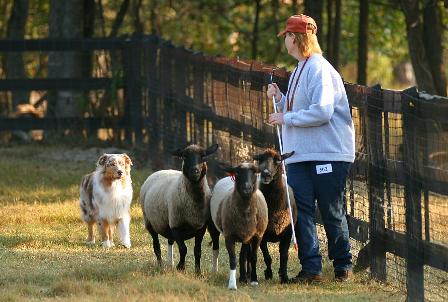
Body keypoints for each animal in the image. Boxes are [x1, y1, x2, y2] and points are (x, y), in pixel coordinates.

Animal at [139, 144, 218, 274]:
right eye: (185, 156)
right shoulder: (175, 225)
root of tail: (161, 170)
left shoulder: (200, 227)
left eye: (203, 156)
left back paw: (170, 264)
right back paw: (161, 266)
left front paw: (198, 272)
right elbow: (183, 249)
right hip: (150, 222)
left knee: (169, 242)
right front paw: (180, 267)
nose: (195, 171)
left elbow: (197, 251)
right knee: (156, 246)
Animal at [252, 150, 298, 284]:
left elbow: (284, 256)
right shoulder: (261, 235)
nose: (265, 174)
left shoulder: (287, 234)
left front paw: (284, 277)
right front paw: (268, 273)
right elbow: (268, 257)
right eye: (260, 159)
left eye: (278, 160)